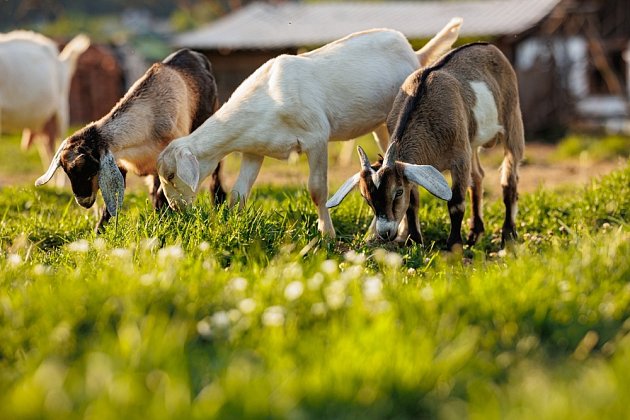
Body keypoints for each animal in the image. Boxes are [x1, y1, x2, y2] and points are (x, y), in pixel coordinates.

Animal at [35, 50, 226, 233]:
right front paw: (98, 232)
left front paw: (163, 223)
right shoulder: (122, 163)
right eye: (67, 171)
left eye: (90, 169)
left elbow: (161, 194)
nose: (83, 201)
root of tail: (194, 54)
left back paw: (218, 202)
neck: (149, 118)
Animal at [158, 18, 464, 238]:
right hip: (380, 124)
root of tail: (416, 53)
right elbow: (238, 193)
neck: (267, 98)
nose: (175, 209)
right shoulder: (254, 149)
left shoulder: (316, 137)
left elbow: (317, 189)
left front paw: (327, 235)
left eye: (171, 175)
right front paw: (234, 226)